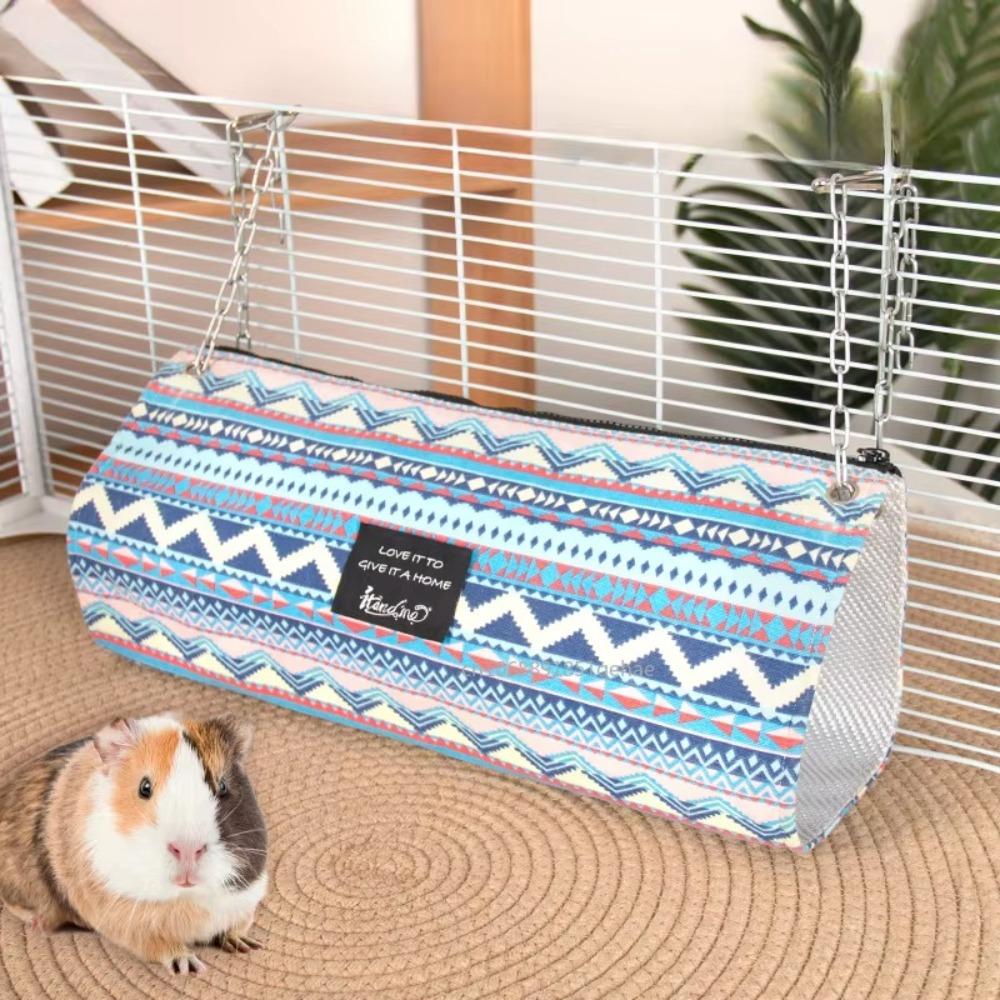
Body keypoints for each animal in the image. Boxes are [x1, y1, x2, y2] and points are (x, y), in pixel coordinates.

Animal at [0, 714, 267, 975]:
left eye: (222, 787)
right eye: (144, 787)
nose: (188, 849)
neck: (187, 898)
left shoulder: (244, 903)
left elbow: (238, 926)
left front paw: (247, 945)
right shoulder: (128, 923)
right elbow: (160, 945)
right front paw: (188, 966)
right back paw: (38, 925)